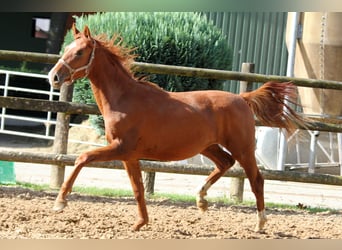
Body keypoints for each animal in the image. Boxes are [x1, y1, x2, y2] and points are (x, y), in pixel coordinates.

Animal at [47, 25, 304, 232]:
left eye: (79, 52)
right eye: (67, 48)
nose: (54, 77)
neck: (124, 98)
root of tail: (242, 98)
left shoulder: (121, 148)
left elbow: (82, 157)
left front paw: (60, 202)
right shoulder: (130, 156)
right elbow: (138, 189)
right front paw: (140, 223)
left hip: (243, 148)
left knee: (256, 180)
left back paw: (260, 223)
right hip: (208, 146)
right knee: (225, 163)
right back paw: (201, 200)